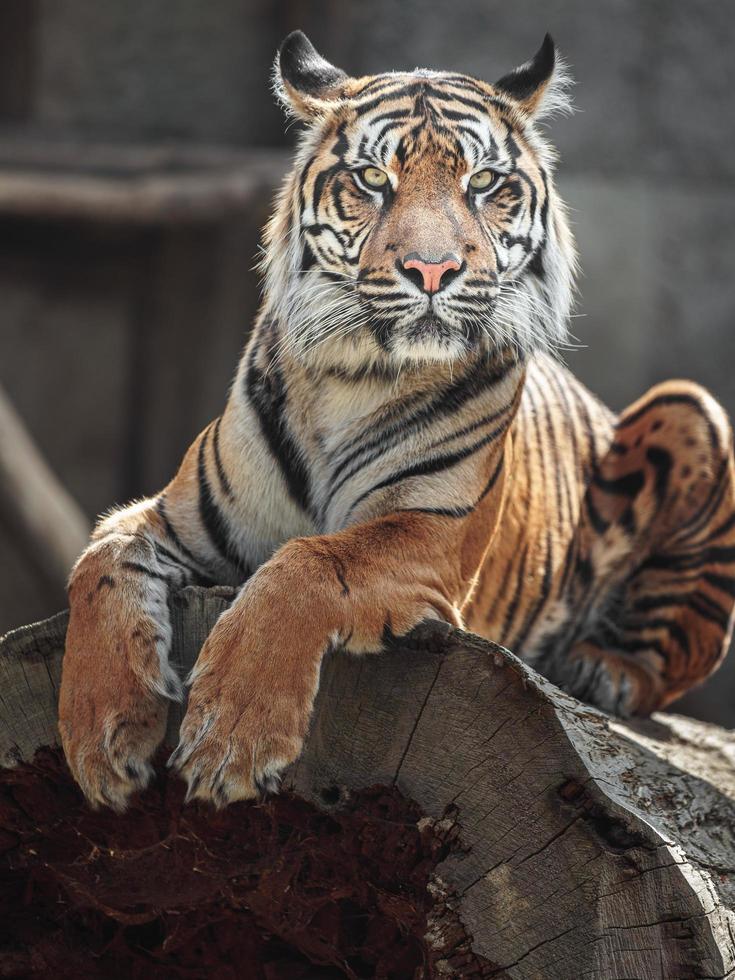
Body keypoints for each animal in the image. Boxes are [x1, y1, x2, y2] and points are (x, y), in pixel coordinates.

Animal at [59, 30, 735, 812]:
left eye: (483, 183)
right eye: (372, 179)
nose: (432, 270)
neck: (351, 377)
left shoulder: (430, 534)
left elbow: (310, 561)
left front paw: (230, 735)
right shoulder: (177, 518)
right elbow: (98, 563)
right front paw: (102, 739)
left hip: (691, 408)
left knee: (679, 651)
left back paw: (603, 669)